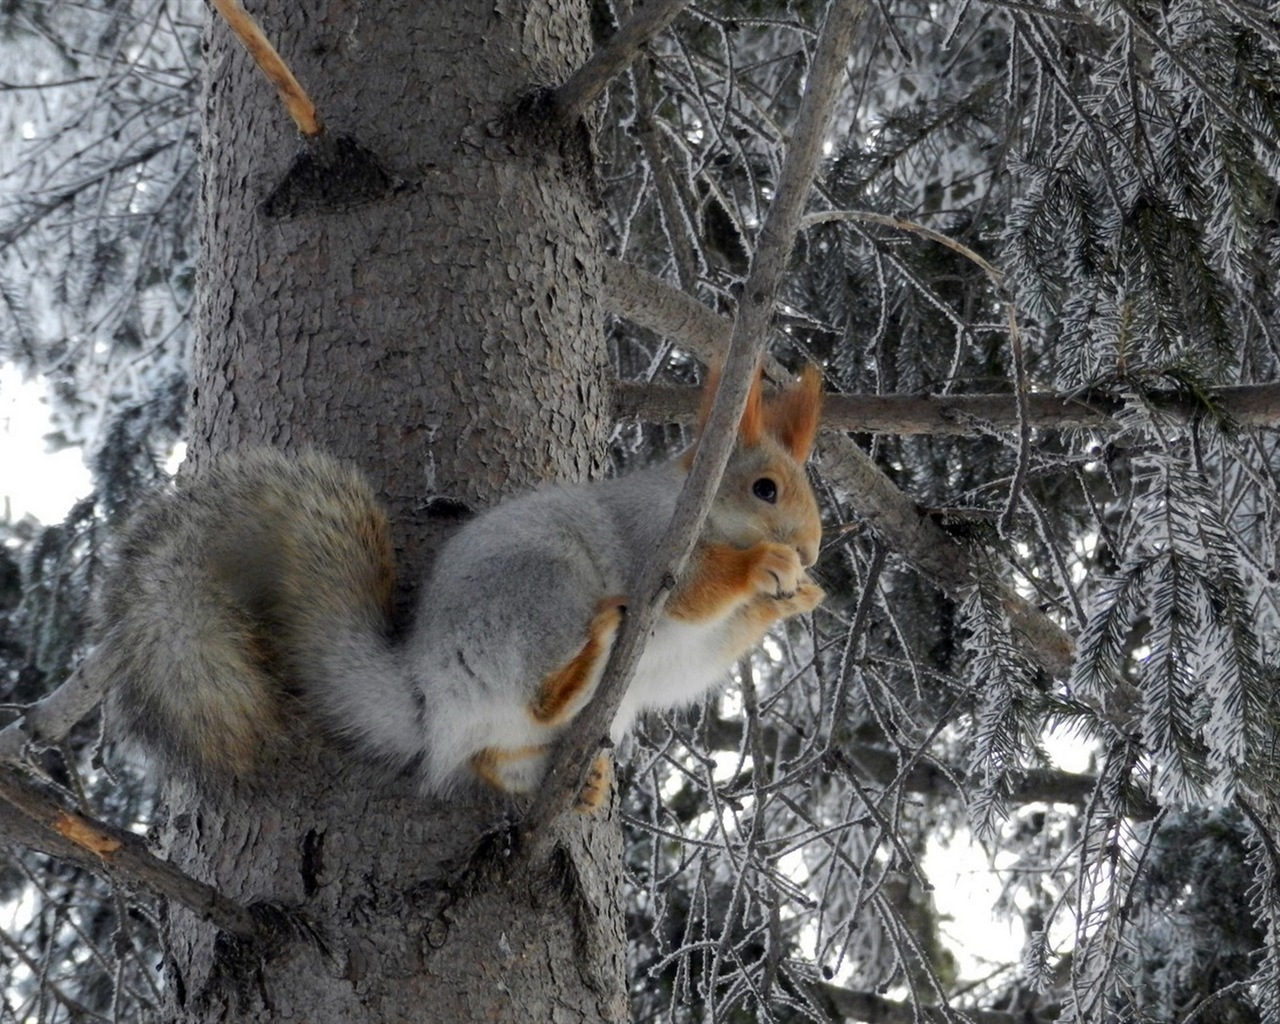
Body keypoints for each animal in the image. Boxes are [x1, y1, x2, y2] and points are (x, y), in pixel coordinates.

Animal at [94, 368, 824, 808]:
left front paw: (800, 595)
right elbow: (691, 590)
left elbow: (705, 654)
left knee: (495, 758)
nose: (814, 548)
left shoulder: (697, 649)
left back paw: (578, 780)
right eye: (764, 489)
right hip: (541, 594)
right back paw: (584, 663)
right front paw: (765, 566)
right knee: (538, 700)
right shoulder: (653, 542)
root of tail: (429, 697)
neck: (696, 506)